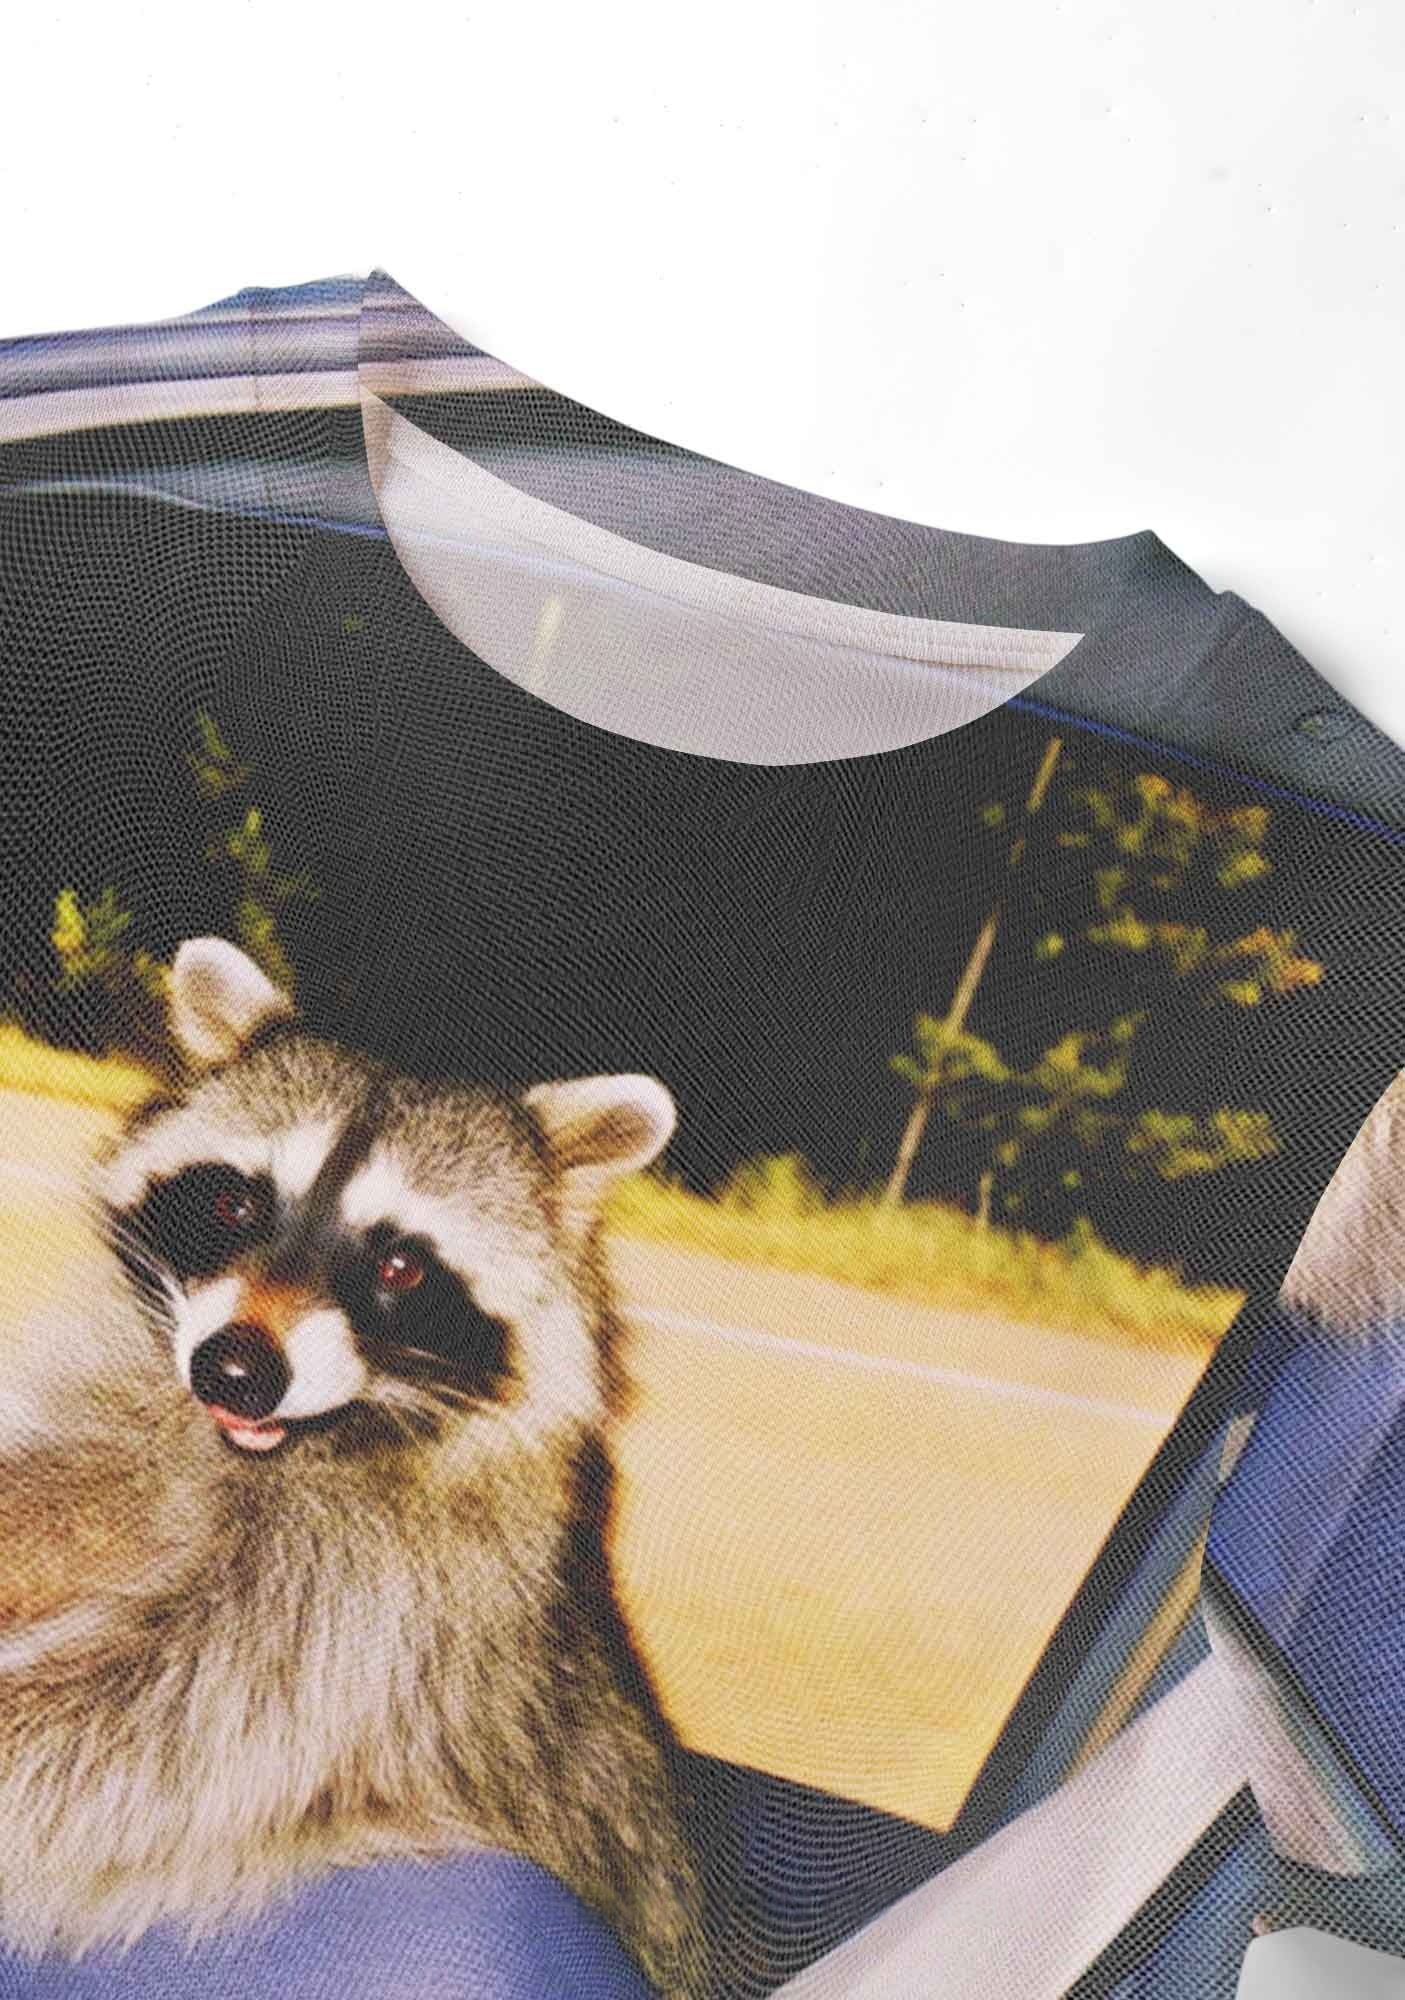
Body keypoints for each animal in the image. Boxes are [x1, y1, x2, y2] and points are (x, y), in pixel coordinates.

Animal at [0, 938, 717, 1998]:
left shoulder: (386, 1608)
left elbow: (145, 1737)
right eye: (234, 1200)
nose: (234, 1371)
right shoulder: (140, 1423)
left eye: (400, 1267)